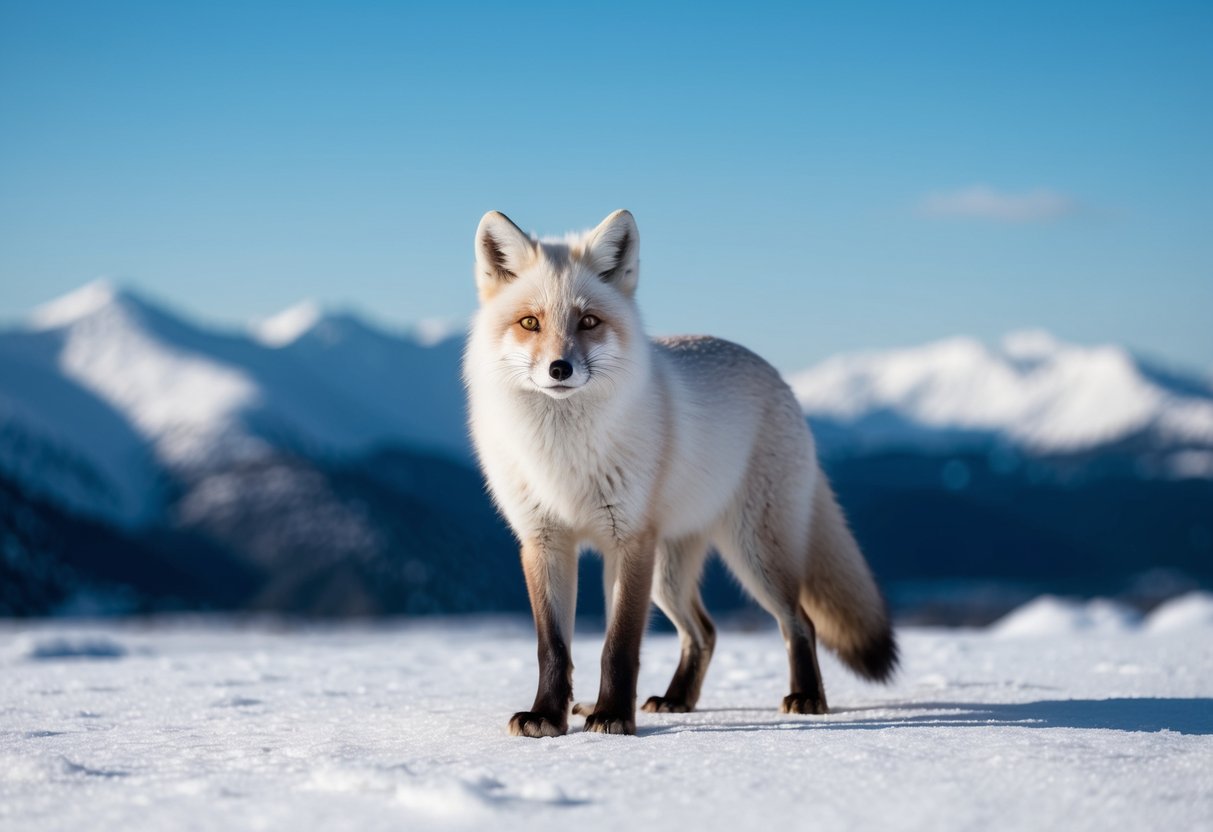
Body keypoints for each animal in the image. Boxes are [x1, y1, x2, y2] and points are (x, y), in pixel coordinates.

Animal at [463, 209, 897, 737]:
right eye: (530, 322)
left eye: (588, 321)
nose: (559, 368)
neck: (563, 457)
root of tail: (782, 382)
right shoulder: (544, 540)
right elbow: (554, 648)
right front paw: (548, 716)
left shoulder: (630, 539)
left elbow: (619, 646)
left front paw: (612, 716)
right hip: (670, 574)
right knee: (704, 632)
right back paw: (676, 700)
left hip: (753, 554)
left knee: (800, 623)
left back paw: (807, 697)